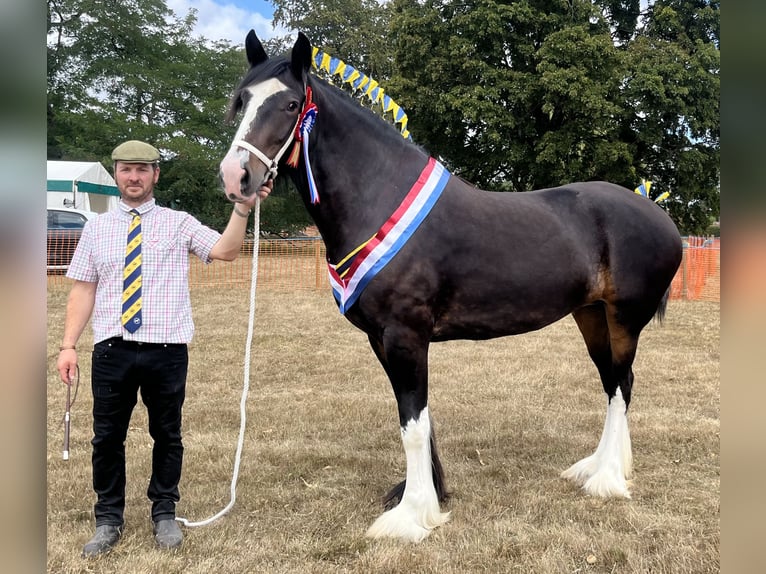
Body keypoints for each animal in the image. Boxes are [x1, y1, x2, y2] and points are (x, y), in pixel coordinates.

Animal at [219, 30, 683, 542]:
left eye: (289, 104)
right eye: (242, 100)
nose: (236, 177)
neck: (379, 198)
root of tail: (661, 216)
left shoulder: (405, 336)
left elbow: (413, 426)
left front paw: (411, 517)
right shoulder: (384, 339)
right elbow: (417, 418)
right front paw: (428, 496)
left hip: (625, 318)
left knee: (621, 386)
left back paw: (606, 480)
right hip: (591, 315)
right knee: (614, 382)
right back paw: (595, 467)